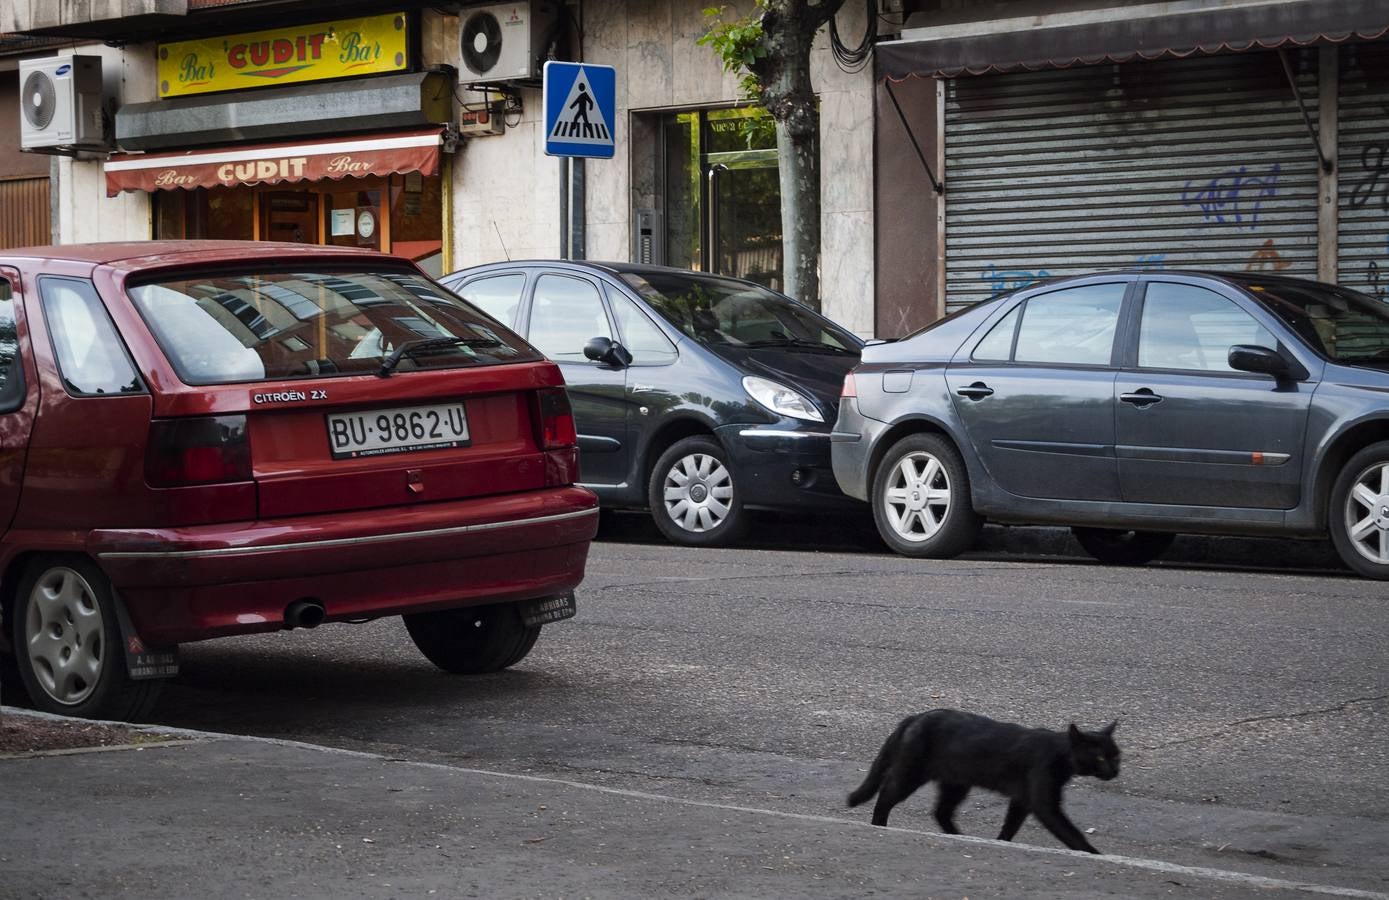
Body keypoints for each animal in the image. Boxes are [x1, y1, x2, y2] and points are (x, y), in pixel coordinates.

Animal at [844, 711, 1116, 849]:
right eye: (1100, 757)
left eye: (1117, 755)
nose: (1115, 771)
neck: (1058, 752)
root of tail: (913, 717)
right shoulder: (1043, 803)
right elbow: (1071, 833)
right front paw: (1093, 853)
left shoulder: (1022, 799)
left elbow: (1010, 824)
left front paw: (1002, 842)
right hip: (912, 774)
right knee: (886, 796)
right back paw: (879, 825)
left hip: (956, 782)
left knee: (941, 812)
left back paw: (958, 836)